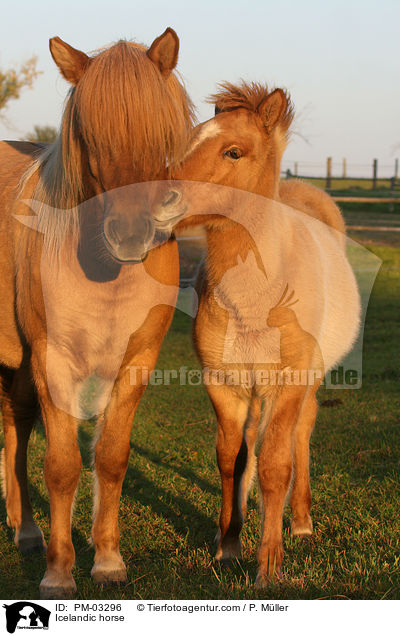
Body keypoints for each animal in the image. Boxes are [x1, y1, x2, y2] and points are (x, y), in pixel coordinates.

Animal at [0, 29, 194, 600]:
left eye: (159, 132)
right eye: (86, 133)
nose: (129, 236)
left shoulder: (137, 361)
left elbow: (109, 458)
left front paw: (107, 560)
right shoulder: (51, 361)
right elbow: (62, 466)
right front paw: (59, 572)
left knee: (16, 423)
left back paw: (24, 531)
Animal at [161, 82, 360, 584]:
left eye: (234, 151)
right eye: (186, 142)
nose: (158, 200)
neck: (255, 297)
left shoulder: (287, 383)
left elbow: (275, 464)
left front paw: (269, 564)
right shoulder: (223, 384)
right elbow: (230, 459)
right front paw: (228, 545)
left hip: (307, 381)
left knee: (302, 432)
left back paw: (302, 523)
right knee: (252, 441)